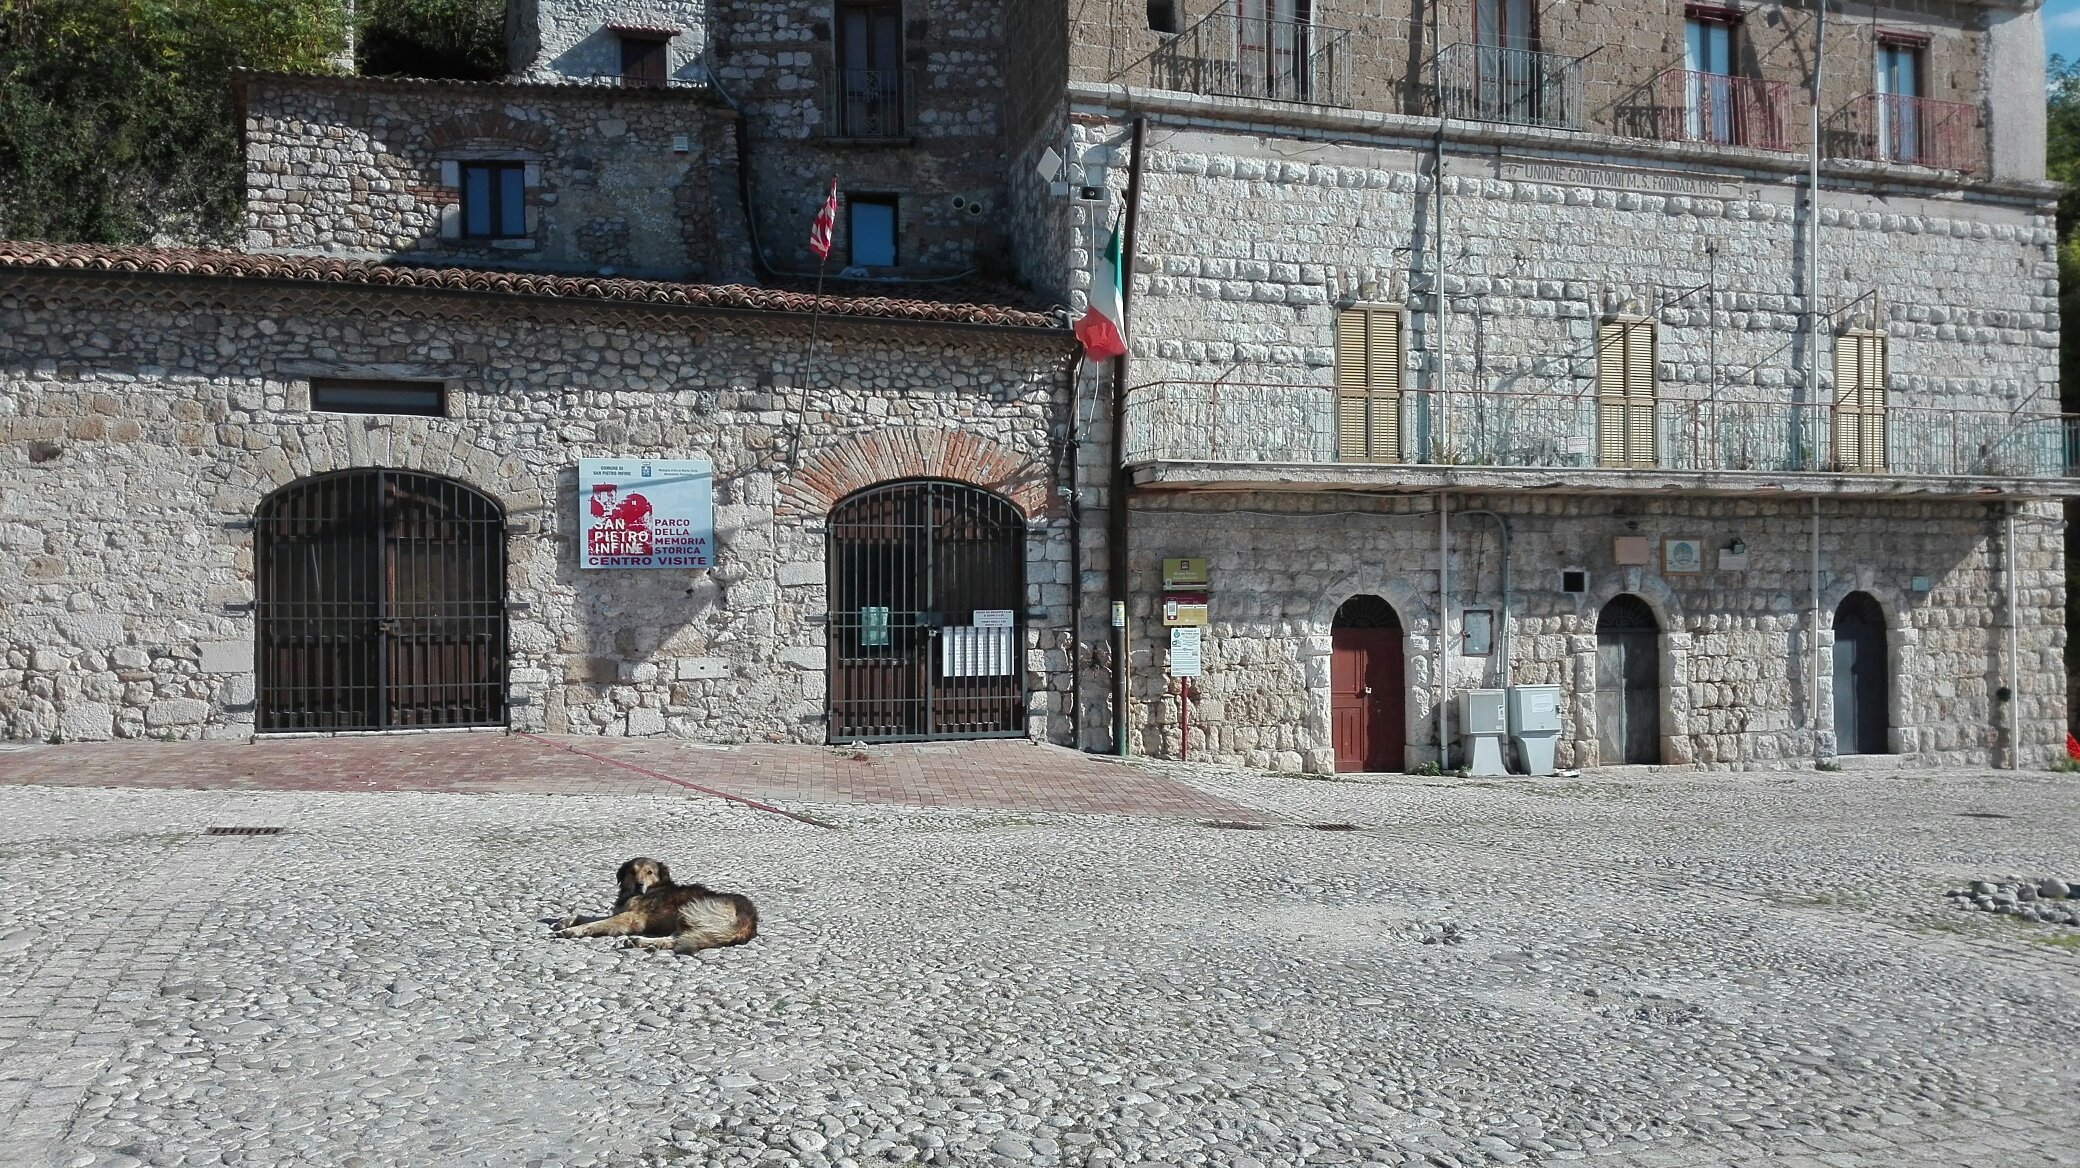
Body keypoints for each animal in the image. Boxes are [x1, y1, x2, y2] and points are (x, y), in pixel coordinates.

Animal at [553, 852, 765, 951]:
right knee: (677, 938)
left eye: (650, 872)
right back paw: (645, 942)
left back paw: (641, 941)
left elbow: (598, 923)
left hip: (690, 910)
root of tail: (750, 921)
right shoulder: (621, 912)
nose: (639, 885)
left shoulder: (631, 918)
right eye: (632, 872)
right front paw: (566, 921)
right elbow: (588, 917)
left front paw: (574, 930)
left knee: (679, 938)